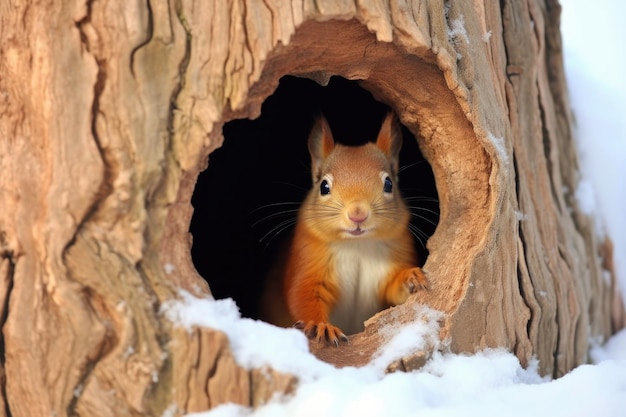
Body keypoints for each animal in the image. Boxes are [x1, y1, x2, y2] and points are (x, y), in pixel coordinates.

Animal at [260, 110, 428, 344]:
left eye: (388, 184)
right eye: (324, 186)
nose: (358, 214)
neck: (357, 245)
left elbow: (393, 291)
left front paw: (410, 277)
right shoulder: (308, 261)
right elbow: (302, 294)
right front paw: (321, 326)